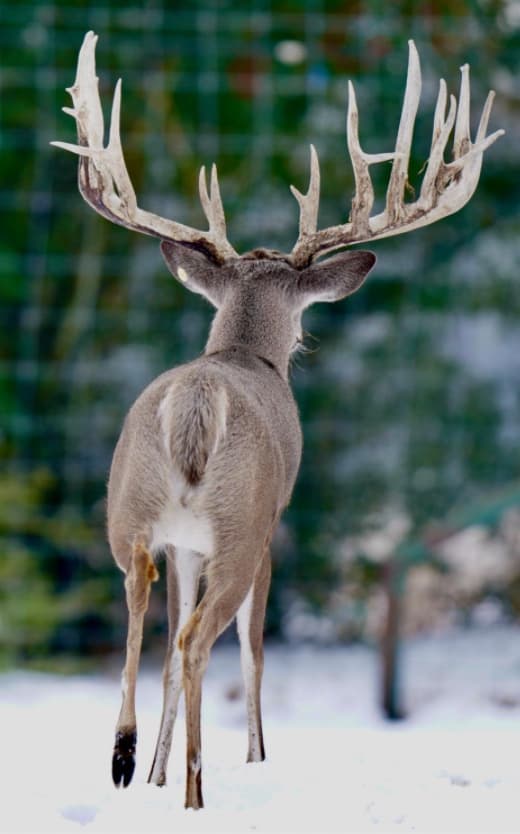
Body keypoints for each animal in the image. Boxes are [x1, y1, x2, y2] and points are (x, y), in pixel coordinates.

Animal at [52, 31, 503, 810]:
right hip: (242, 521)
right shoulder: (272, 523)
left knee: (146, 619)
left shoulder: (184, 545)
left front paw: (154, 770)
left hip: (129, 515)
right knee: (203, 640)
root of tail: (198, 396)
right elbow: (255, 651)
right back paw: (197, 790)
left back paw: (125, 758)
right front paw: (255, 758)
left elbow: (166, 651)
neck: (239, 355)